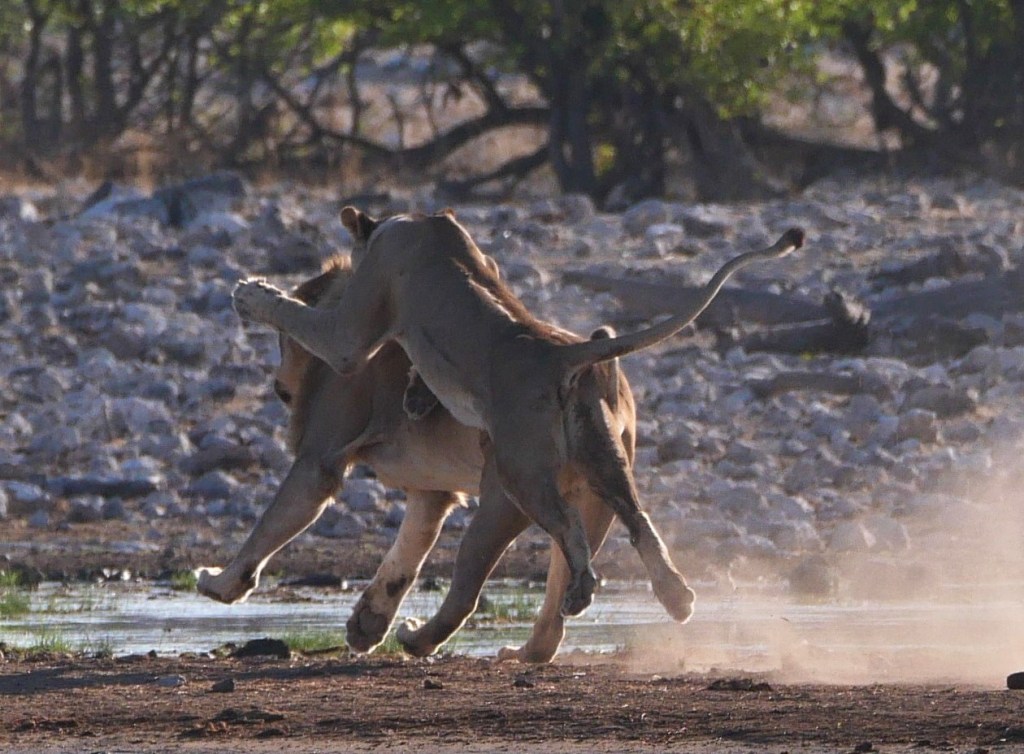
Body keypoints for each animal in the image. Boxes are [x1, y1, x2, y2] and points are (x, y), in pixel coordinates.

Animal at [199, 256, 629, 662]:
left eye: (281, 342)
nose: (278, 387)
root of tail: (588, 369)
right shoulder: (431, 491)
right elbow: (407, 552)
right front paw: (368, 624)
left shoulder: (319, 460)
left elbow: (267, 528)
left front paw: (221, 582)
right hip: (594, 500)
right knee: (558, 603)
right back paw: (522, 650)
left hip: (506, 496)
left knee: (465, 594)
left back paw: (417, 639)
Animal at [233, 209, 803, 644]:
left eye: (282, 349)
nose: (278, 386)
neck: (414, 223)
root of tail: (565, 355)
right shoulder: (482, 263)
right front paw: (416, 394)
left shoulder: (349, 343)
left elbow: (298, 315)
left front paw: (253, 293)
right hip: (603, 464)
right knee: (638, 525)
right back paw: (676, 598)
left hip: (516, 476)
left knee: (548, 543)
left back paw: (571, 595)